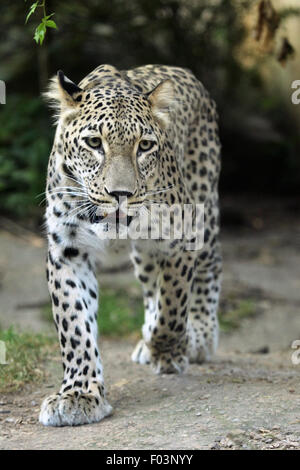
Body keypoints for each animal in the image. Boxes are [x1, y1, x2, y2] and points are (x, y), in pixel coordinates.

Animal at [38, 64, 221, 428]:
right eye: (94, 143)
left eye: (145, 146)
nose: (120, 193)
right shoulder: (67, 251)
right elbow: (74, 325)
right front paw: (78, 394)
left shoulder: (180, 237)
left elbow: (173, 306)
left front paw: (168, 350)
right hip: (146, 254)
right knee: (151, 287)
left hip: (204, 213)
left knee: (209, 267)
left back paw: (199, 336)